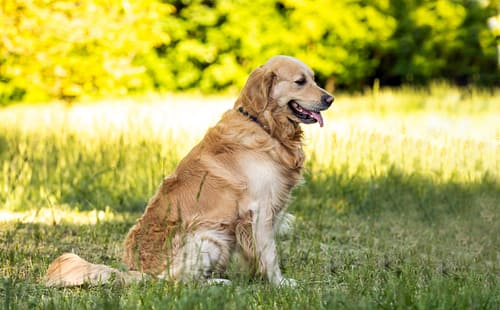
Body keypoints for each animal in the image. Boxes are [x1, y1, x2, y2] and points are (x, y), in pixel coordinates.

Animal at [45, 55, 334, 286]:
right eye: (300, 81)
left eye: (314, 78)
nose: (330, 98)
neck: (264, 126)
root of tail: (139, 272)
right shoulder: (259, 210)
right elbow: (270, 253)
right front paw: (280, 283)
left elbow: (256, 255)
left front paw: (258, 278)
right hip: (210, 236)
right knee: (180, 282)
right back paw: (218, 283)